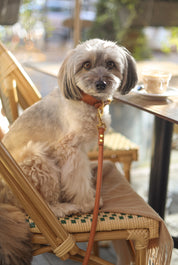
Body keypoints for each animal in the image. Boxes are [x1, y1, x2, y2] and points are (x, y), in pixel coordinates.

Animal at [0, 37, 138, 264]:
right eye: (86, 65)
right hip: (38, 161)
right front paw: (87, 202)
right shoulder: (71, 150)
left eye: (110, 64)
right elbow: (78, 180)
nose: (101, 83)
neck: (89, 102)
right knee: (44, 205)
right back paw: (63, 207)